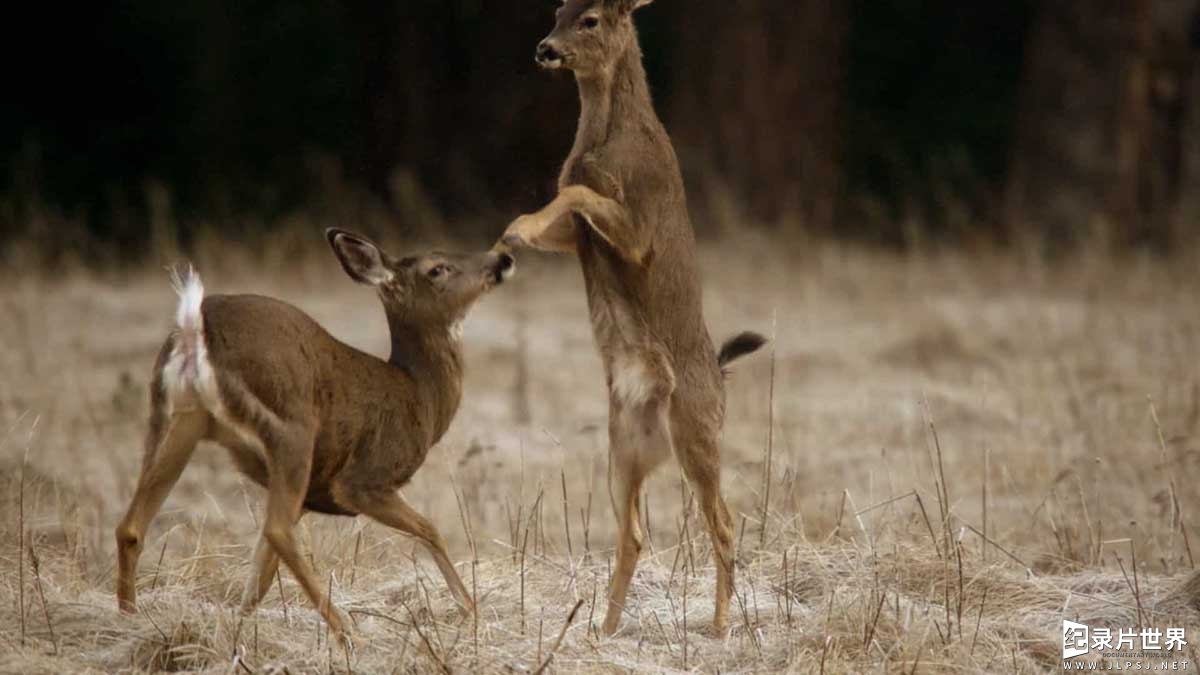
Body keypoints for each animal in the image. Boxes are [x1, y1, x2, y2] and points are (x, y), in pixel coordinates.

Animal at [113, 229, 520, 638]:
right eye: (437, 268)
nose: (501, 260)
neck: (420, 396)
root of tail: (194, 326)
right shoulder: (363, 480)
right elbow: (430, 529)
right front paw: (471, 610)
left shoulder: (311, 496)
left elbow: (261, 574)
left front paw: (237, 628)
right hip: (290, 427)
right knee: (276, 530)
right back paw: (345, 631)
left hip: (178, 418)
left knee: (131, 527)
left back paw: (129, 618)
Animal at [499, 0, 768, 634]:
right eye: (558, 9)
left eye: (591, 19)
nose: (545, 49)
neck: (602, 142)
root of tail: (719, 376)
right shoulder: (576, 234)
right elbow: (562, 203)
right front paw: (510, 236)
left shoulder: (639, 224)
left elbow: (577, 196)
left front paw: (512, 233)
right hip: (623, 447)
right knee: (635, 533)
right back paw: (604, 628)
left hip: (695, 427)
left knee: (724, 522)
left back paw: (719, 627)